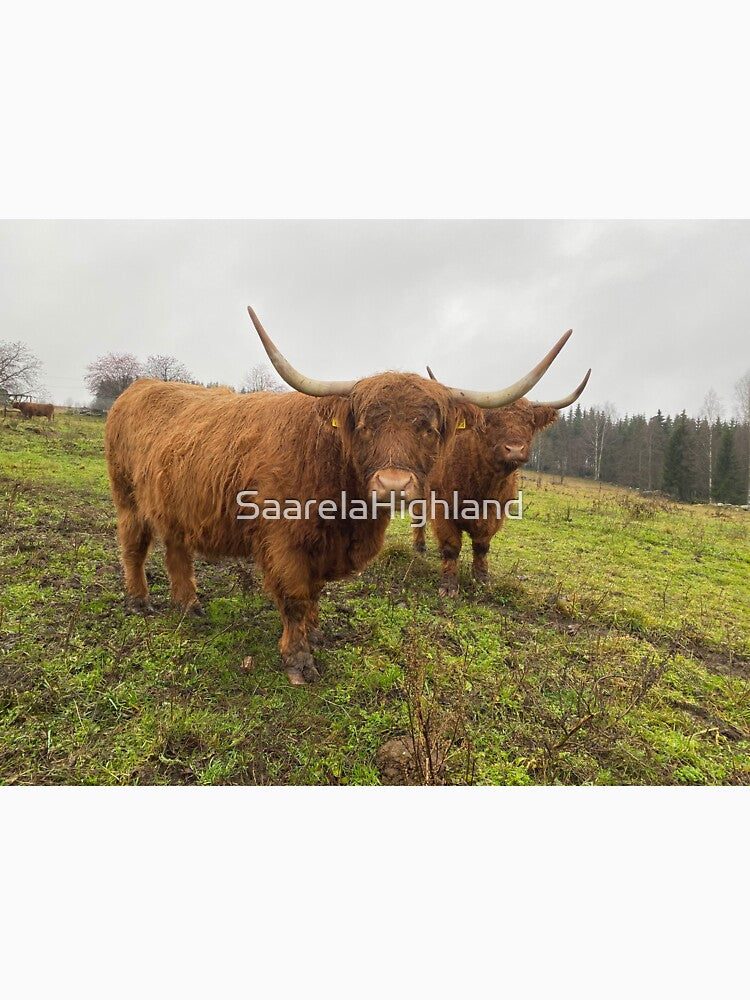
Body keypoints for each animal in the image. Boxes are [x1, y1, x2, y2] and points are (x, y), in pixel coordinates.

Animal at [105, 307, 572, 683]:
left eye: (429, 427)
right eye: (365, 425)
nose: (393, 485)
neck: (344, 511)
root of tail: (139, 386)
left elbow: (314, 594)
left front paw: (315, 634)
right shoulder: (284, 543)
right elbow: (296, 598)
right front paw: (298, 661)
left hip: (174, 505)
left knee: (176, 552)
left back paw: (190, 605)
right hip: (126, 496)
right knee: (134, 545)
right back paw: (139, 601)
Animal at [413, 365, 590, 596]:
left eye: (530, 422)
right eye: (487, 422)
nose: (514, 449)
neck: (481, 490)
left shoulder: (496, 513)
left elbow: (482, 546)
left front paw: (482, 580)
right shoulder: (441, 507)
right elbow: (451, 546)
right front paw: (449, 586)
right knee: (418, 517)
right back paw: (419, 548)